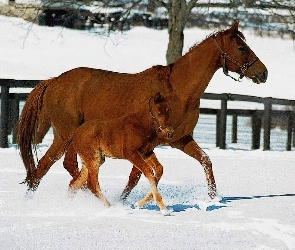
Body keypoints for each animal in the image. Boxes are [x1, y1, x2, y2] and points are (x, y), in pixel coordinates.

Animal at [17, 21, 268, 203]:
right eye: (241, 47)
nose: (263, 73)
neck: (177, 91)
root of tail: (53, 81)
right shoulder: (143, 144)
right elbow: (137, 175)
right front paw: (123, 201)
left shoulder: (180, 140)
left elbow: (205, 161)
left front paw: (214, 199)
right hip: (69, 135)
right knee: (68, 167)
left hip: (62, 137)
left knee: (44, 167)